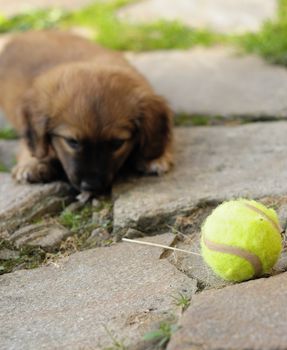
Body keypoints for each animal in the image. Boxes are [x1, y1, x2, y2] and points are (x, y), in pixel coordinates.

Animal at [0, 30, 173, 194]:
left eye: (117, 143)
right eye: (72, 142)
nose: (91, 186)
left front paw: (156, 157)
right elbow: (31, 144)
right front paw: (32, 163)